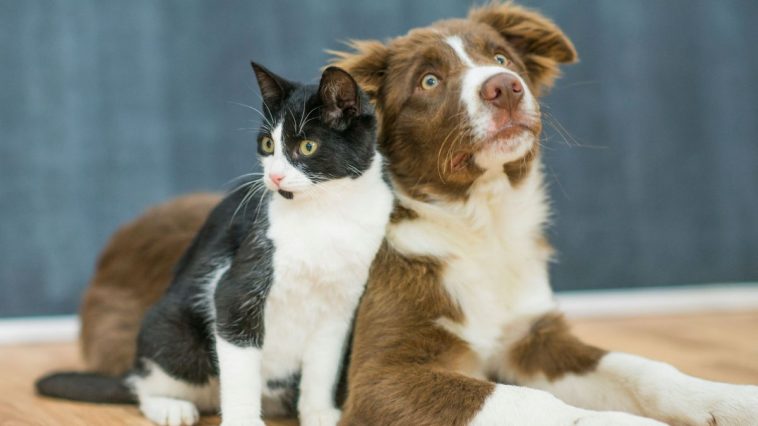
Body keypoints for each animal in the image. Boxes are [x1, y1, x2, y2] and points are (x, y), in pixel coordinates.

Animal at [36, 62, 394, 426]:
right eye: (268, 144)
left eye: (307, 147)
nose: (274, 177)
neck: (326, 213)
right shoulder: (235, 289)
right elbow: (240, 366)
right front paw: (244, 421)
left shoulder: (341, 305)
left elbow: (323, 366)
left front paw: (319, 413)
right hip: (176, 335)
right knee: (146, 383)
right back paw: (170, 406)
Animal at [72, 3, 758, 426]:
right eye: (429, 82)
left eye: (502, 59)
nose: (505, 89)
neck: (477, 226)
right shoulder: (383, 376)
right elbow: (533, 405)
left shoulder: (534, 337)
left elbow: (643, 365)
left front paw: (729, 398)